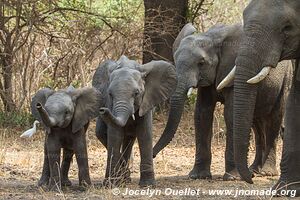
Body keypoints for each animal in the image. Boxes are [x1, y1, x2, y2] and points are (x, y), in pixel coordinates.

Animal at [91, 55, 176, 187]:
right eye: (110, 94)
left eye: (136, 93)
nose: (103, 110)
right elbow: (115, 134)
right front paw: (111, 184)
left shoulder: (147, 100)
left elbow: (144, 134)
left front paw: (148, 185)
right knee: (101, 133)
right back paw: (122, 177)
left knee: (130, 138)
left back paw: (125, 177)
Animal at [152, 23, 292, 181]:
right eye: (175, 60)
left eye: (201, 63)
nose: (153, 155)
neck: (212, 37)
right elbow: (202, 113)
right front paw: (198, 176)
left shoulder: (232, 71)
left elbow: (230, 114)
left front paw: (232, 178)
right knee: (257, 124)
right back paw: (254, 171)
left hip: (285, 80)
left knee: (274, 119)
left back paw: (266, 172)